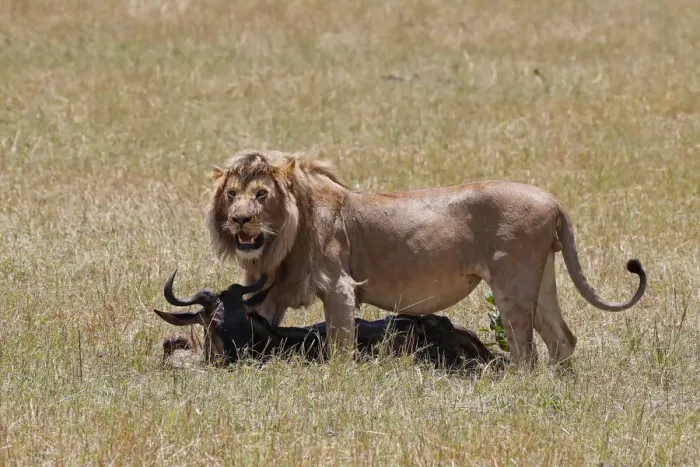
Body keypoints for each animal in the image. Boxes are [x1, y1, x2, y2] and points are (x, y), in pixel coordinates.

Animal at [206, 149, 646, 367]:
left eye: (261, 194)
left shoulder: (339, 287)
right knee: (561, 339)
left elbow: (340, 344)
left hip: (513, 285)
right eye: (231, 194)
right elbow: (256, 329)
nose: (240, 220)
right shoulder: (272, 292)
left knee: (526, 351)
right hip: (543, 282)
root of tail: (553, 200)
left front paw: (339, 379)